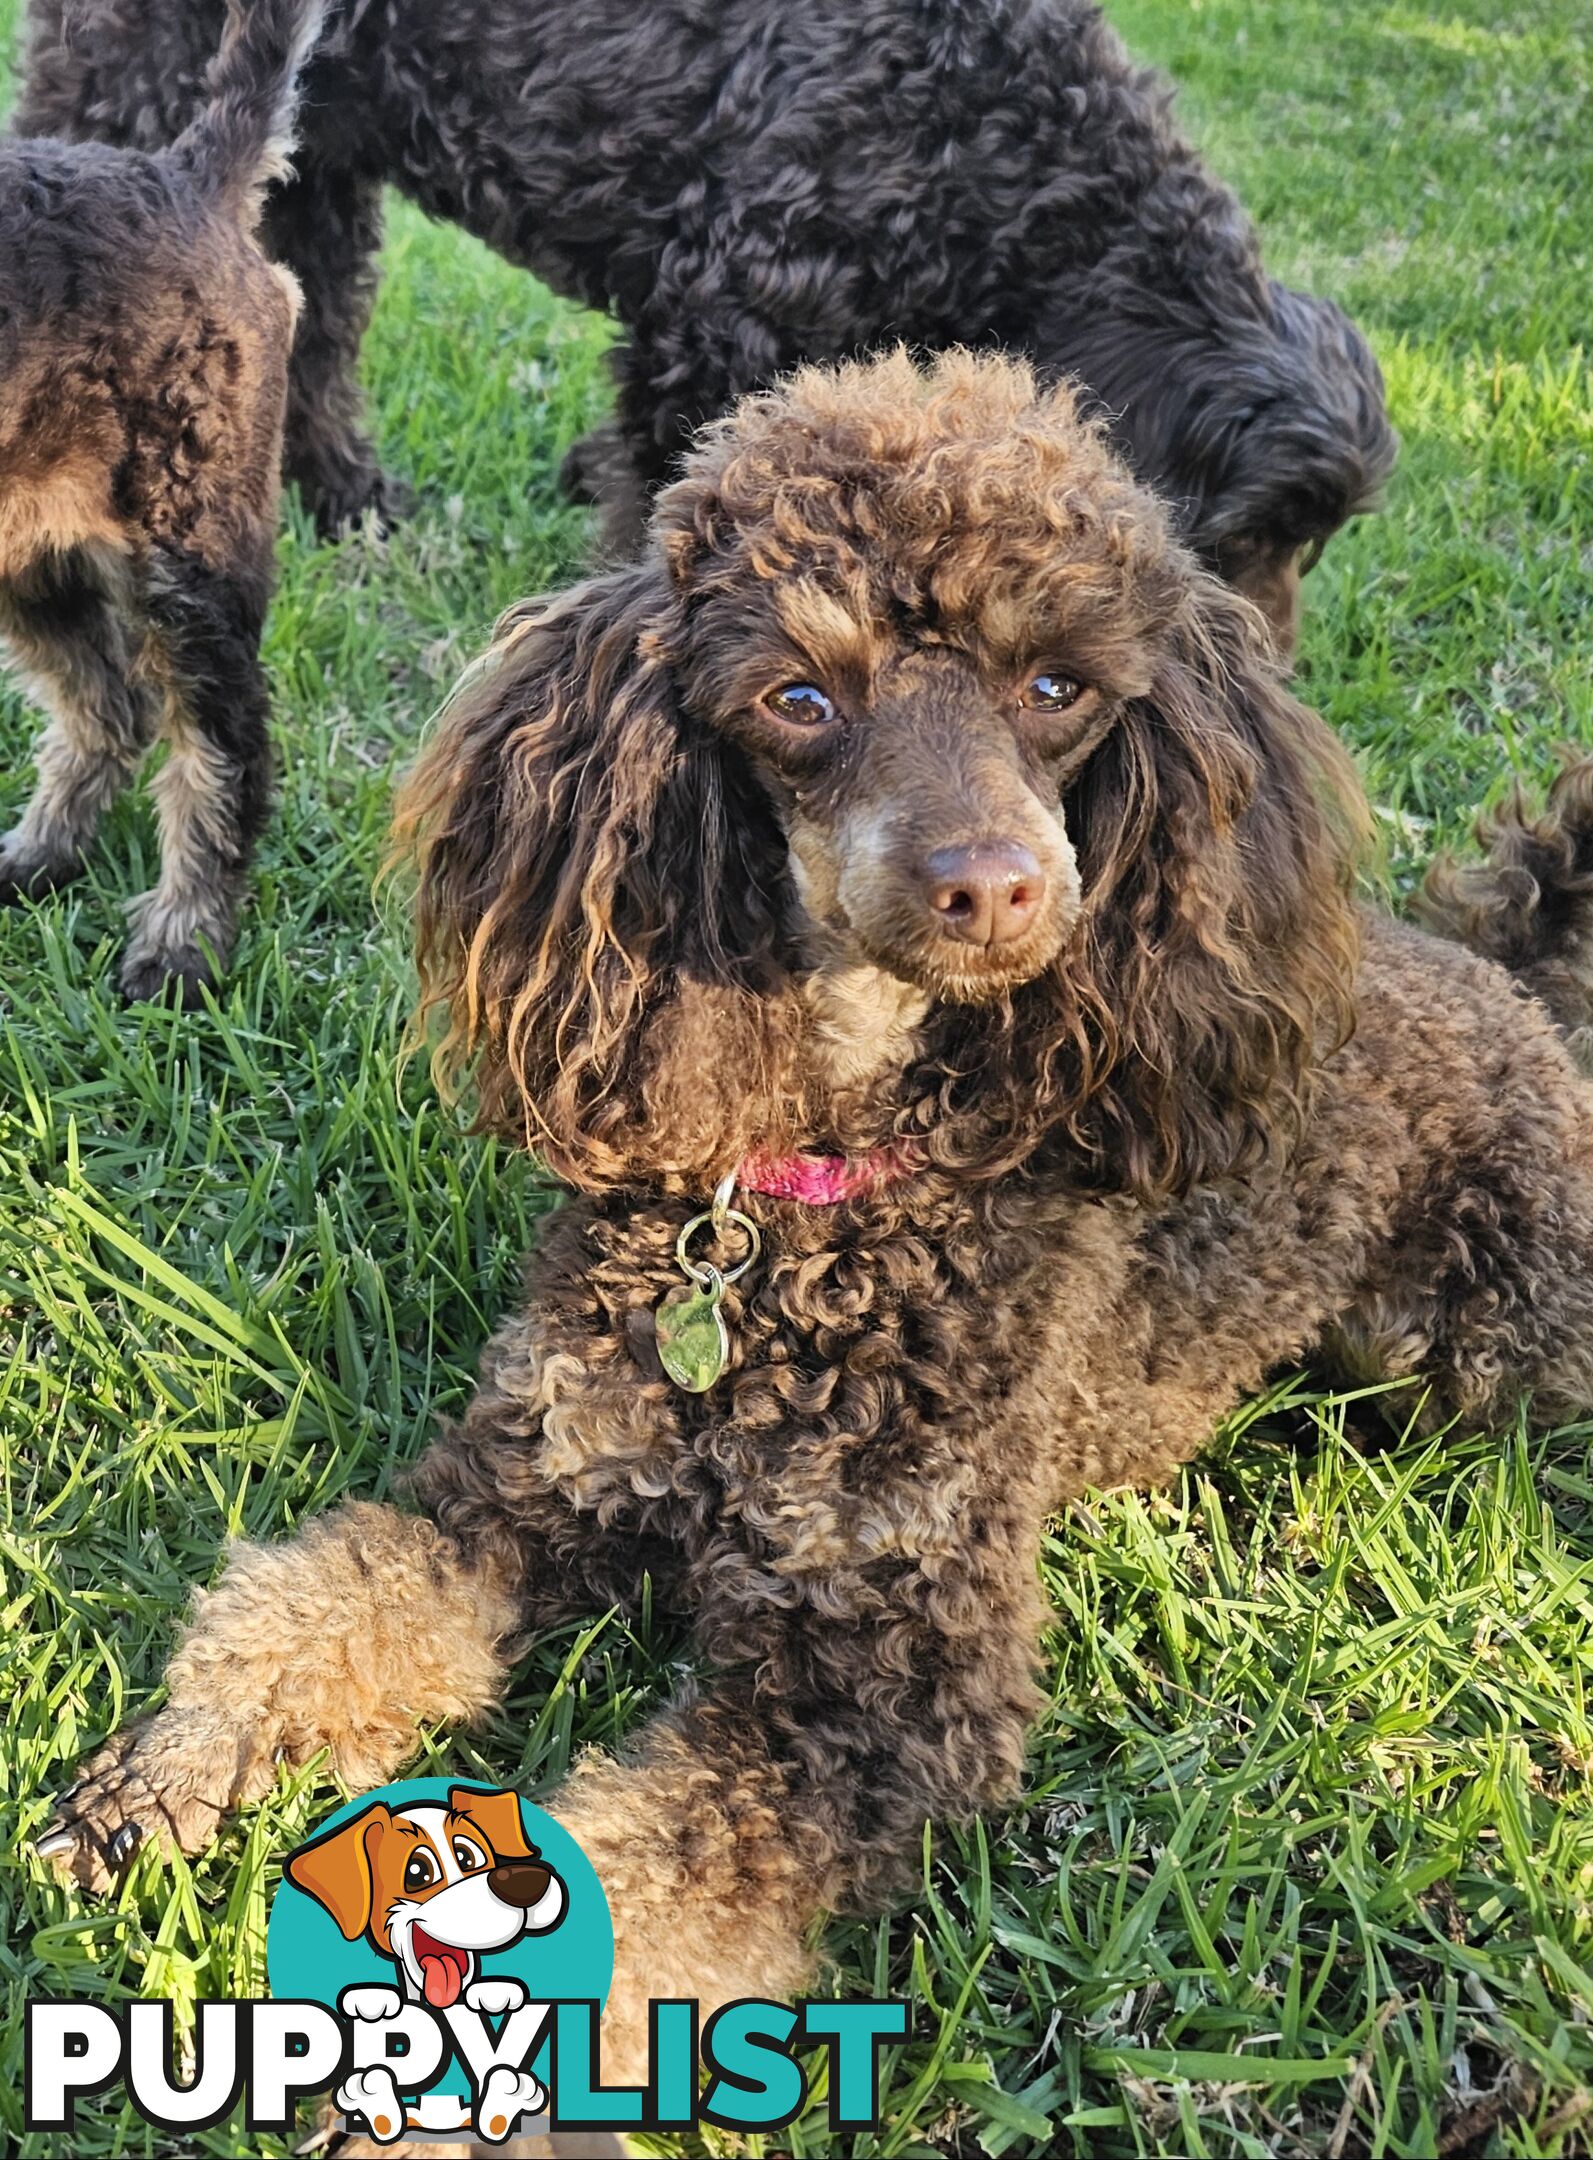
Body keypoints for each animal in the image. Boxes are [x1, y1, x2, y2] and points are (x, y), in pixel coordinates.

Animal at [0, 0, 323, 993]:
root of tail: (188, 177)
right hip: (33, 557)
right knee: (110, 703)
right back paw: (42, 854)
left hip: (195, 559)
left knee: (223, 749)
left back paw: (184, 942)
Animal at [40, 358, 1580, 2090]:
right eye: (799, 699)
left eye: (1056, 686)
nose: (993, 888)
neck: (818, 1198)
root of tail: (1511, 985)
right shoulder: (527, 1481)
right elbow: (329, 1603)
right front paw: (172, 1766)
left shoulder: (888, 1669)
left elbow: (662, 1872)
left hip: (1486, 1340)